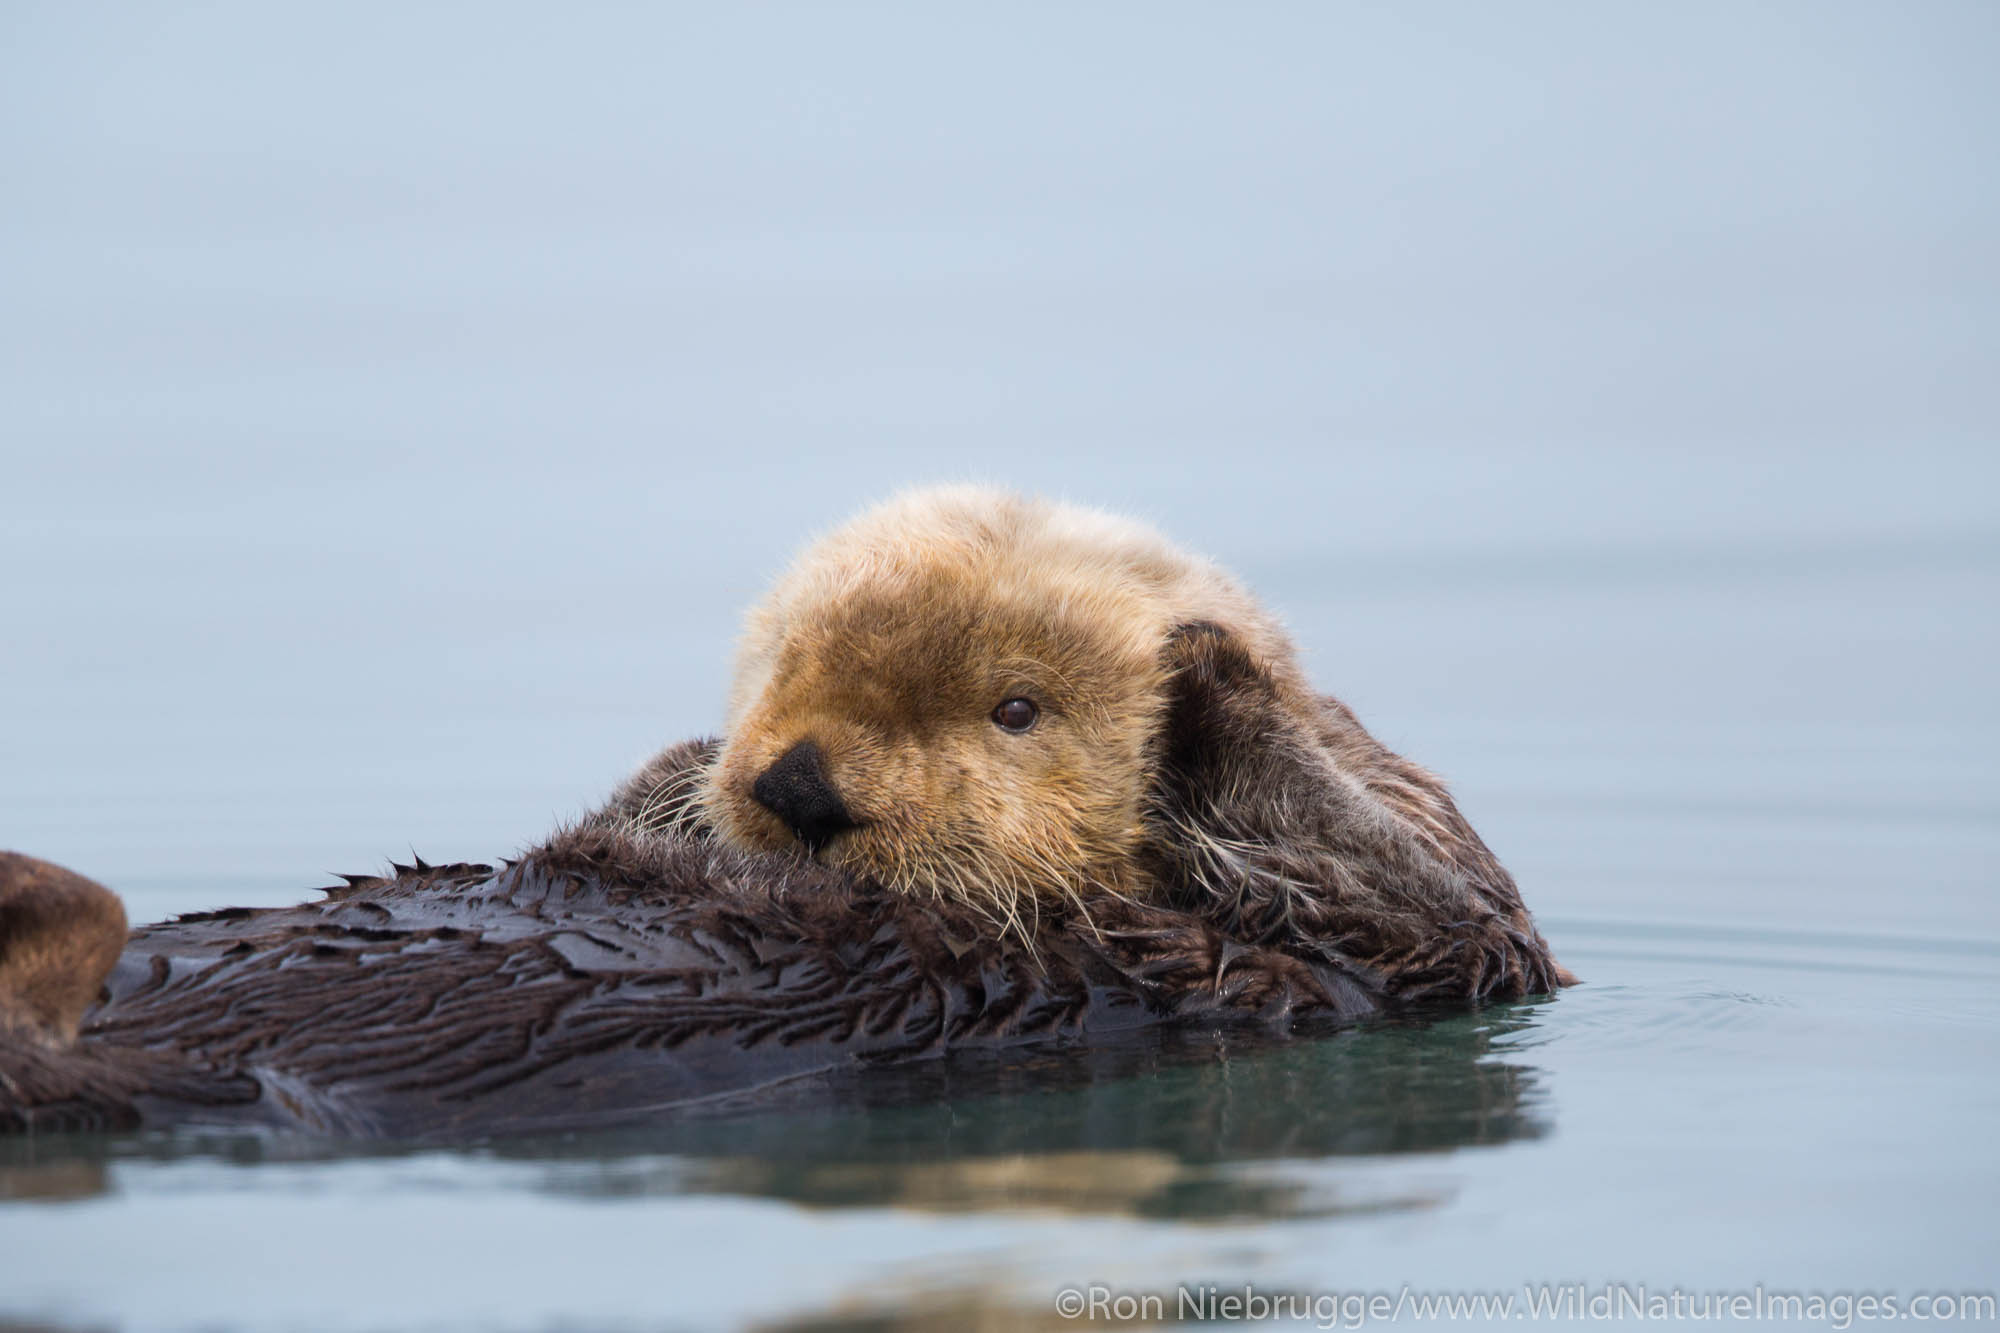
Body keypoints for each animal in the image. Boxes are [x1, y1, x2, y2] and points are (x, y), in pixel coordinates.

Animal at [600, 482, 1568, 992]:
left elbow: (1459, 924)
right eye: (783, 665)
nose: (801, 785)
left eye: (1017, 709)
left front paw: (1199, 657)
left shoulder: (1395, 952)